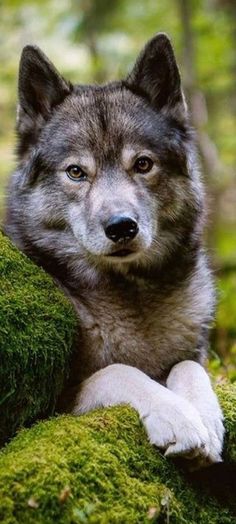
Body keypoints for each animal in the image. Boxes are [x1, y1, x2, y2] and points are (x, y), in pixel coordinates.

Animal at [4, 32, 224, 466]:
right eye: (76, 172)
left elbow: (188, 366)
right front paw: (178, 415)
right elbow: (119, 371)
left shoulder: (195, 352)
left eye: (143, 164)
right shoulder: (56, 404)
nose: (122, 227)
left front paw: (205, 416)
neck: (130, 294)